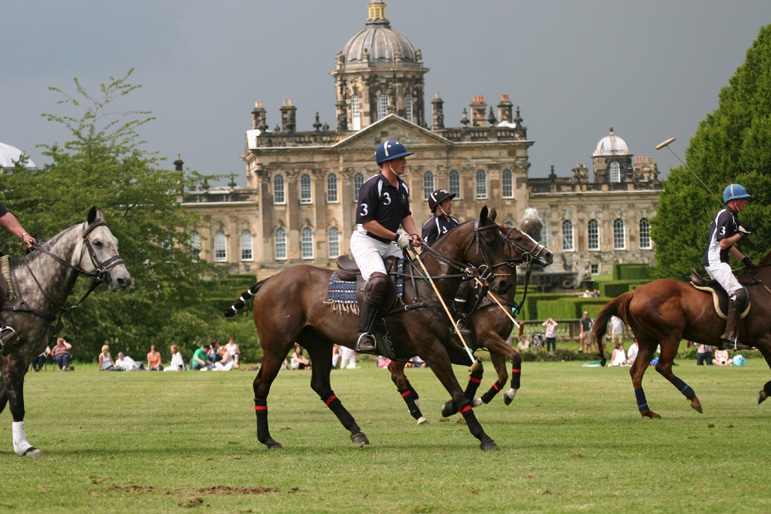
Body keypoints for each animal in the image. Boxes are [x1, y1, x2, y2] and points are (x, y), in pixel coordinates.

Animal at [228, 207, 520, 448]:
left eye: (505, 241)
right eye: (491, 241)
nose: (504, 284)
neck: (429, 282)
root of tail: (268, 281)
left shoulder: (446, 343)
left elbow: (477, 368)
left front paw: (451, 407)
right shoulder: (430, 348)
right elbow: (458, 390)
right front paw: (483, 436)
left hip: (318, 342)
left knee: (321, 385)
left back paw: (356, 431)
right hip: (277, 344)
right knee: (261, 384)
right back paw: (267, 439)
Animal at [390, 222, 552, 422]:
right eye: (519, 238)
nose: (548, 254)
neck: (498, 296)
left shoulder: (494, 343)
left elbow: (502, 376)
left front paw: (473, 400)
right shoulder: (488, 337)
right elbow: (516, 356)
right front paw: (508, 394)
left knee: (393, 370)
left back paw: (415, 403)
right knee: (396, 372)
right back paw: (417, 411)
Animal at [596, 250, 771, 418]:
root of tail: (634, 292)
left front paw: (764, 392)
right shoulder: (765, 340)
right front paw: (764, 392)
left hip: (648, 340)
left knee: (637, 371)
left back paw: (647, 411)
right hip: (670, 336)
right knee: (663, 367)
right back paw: (693, 398)